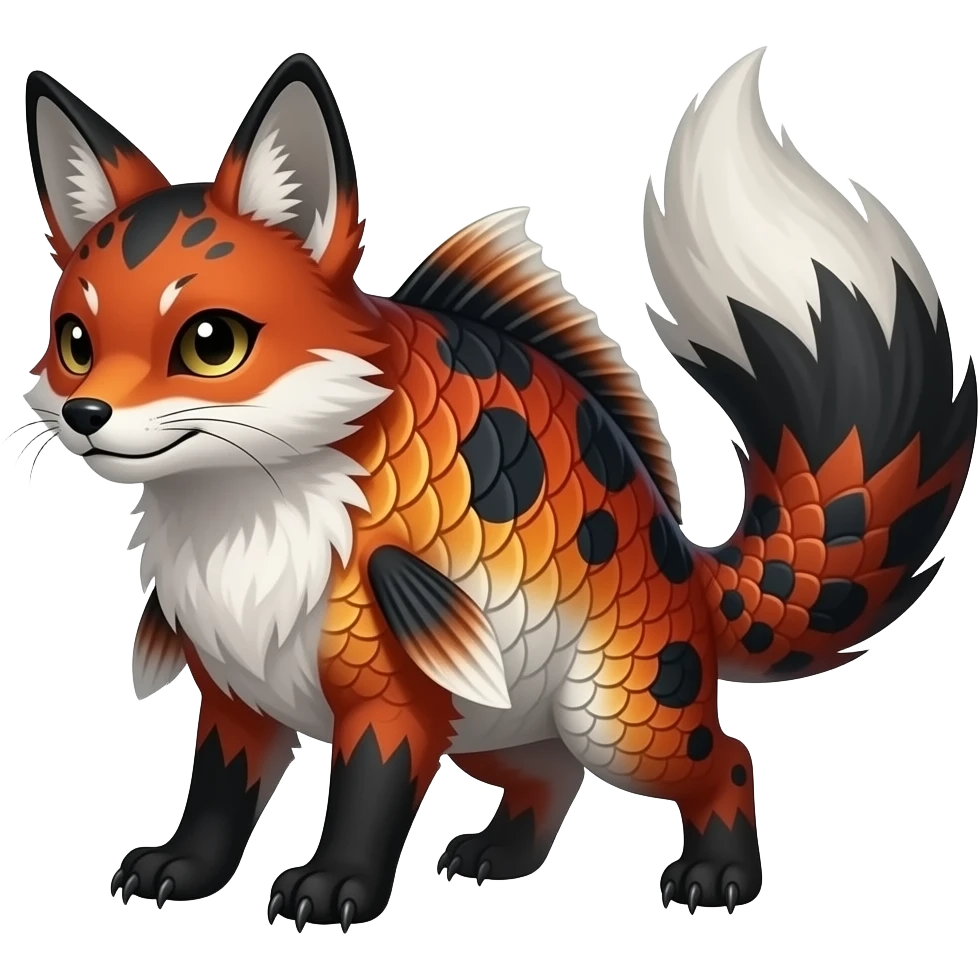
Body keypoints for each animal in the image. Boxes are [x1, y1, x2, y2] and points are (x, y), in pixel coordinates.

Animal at [20, 47, 975, 931]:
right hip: (501, 716)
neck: (244, 512)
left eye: (210, 342)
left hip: (620, 715)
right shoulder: (232, 689)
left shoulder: (393, 687)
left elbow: (365, 797)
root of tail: (682, 554)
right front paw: (179, 871)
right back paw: (500, 857)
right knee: (552, 774)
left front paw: (333, 890)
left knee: (729, 760)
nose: (86, 414)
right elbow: (216, 797)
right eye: (74, 341)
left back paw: (718, 877)